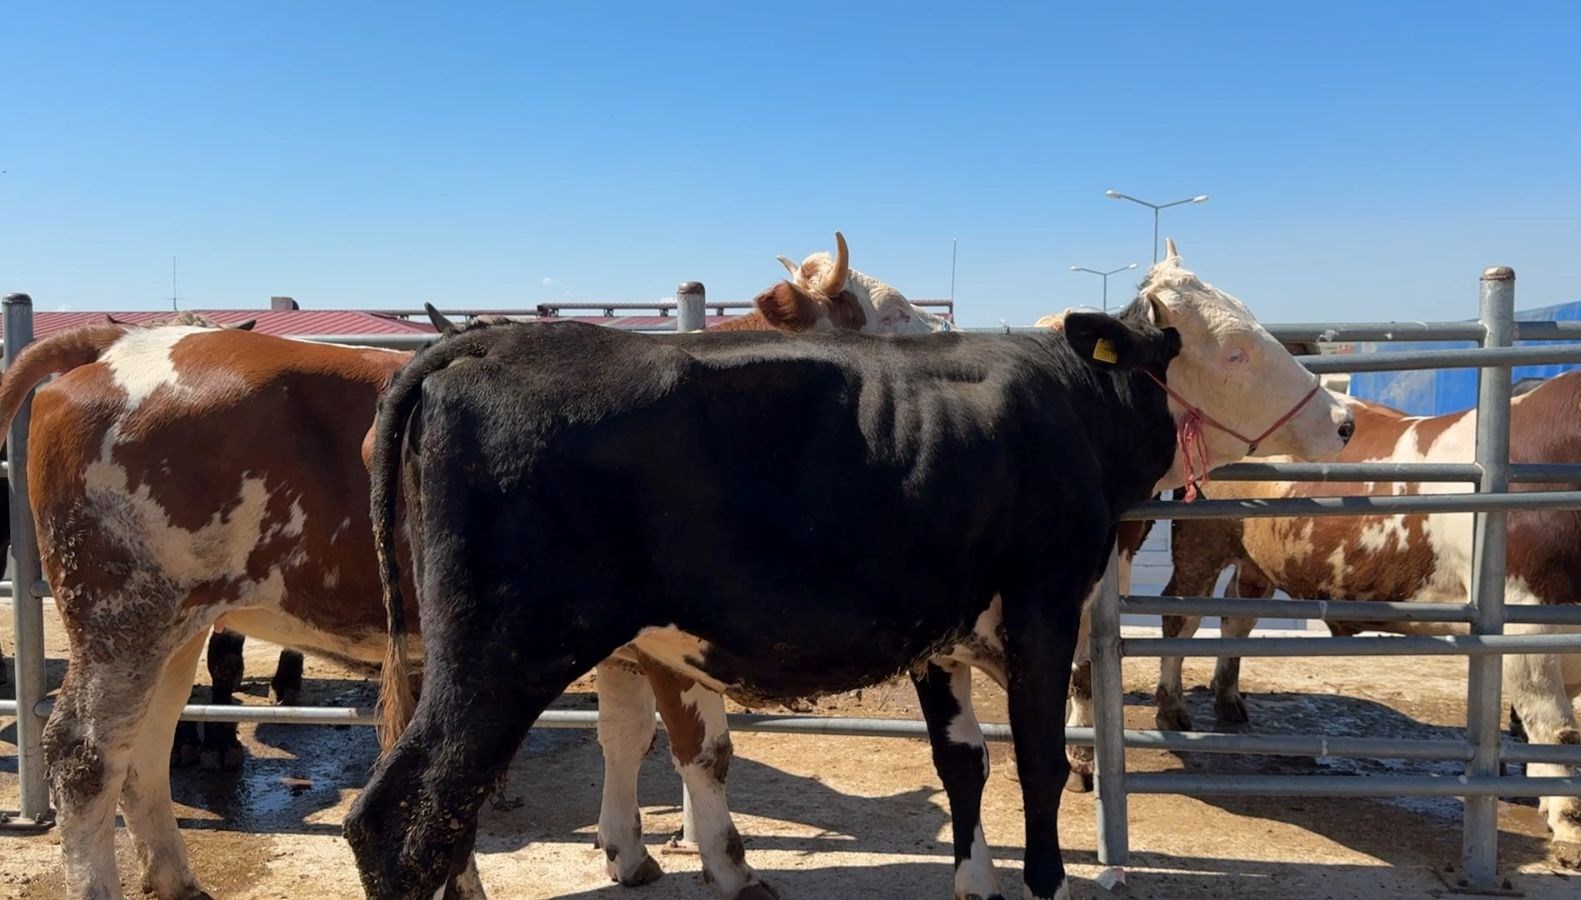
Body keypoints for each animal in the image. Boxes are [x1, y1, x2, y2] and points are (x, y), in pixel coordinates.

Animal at [349, 308, 1188, 898]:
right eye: (1172, 358)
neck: (1066, 400)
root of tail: (483, 343)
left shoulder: (938, 634)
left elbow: (963, 763)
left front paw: (975, 883)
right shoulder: (1043, 606)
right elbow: (1040, 763)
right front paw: (1045, 886)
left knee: (445, 813)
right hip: (501, 655)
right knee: (398, 820)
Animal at [1157, 379, 1581, 860]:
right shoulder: (1523, 620)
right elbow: (1556, 727)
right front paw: (1568, 822)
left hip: (1257, 559)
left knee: (1236, 619)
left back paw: (1229, 700)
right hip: (1200, 541)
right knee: (1179, 617)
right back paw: (1171, 709)